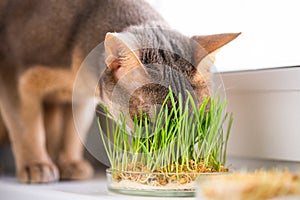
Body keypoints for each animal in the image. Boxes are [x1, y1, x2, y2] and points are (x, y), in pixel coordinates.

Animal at [0, 0, 239, 184]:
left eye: (197, 123)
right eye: (148, 123)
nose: (173, 158)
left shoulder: (80, 99)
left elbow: (73, 131)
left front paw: (70, 162)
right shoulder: (10, 69)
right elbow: (26, 127)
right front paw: (35, 164)